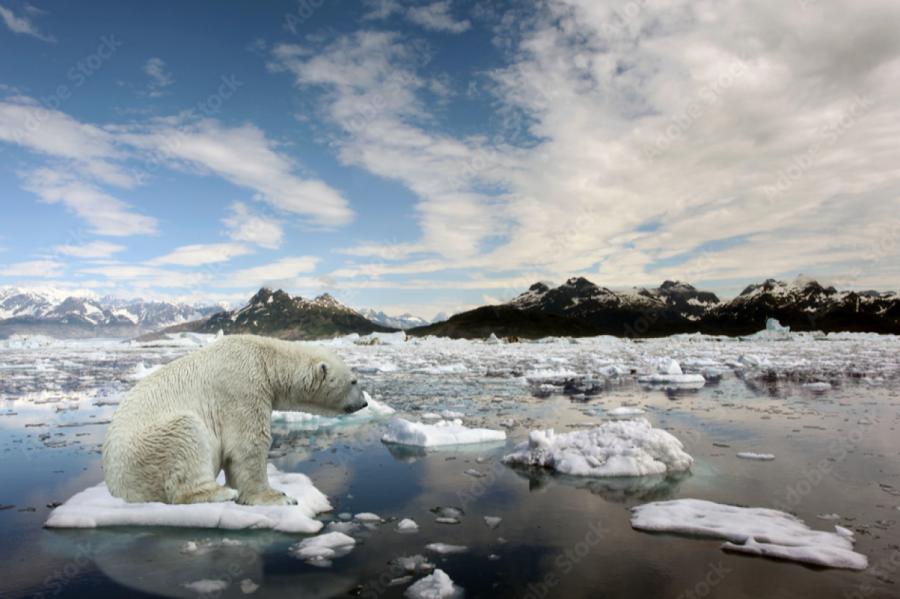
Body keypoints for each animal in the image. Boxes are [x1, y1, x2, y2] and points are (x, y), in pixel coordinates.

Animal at [100, 338, 364, 506]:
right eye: (354, 381)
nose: (364, 403)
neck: (265, 359)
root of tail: (115, 490)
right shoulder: (242, 389)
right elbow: (248, 446)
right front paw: (280, 497)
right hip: (148, 450)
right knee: (186, 435)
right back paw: (221, 493)